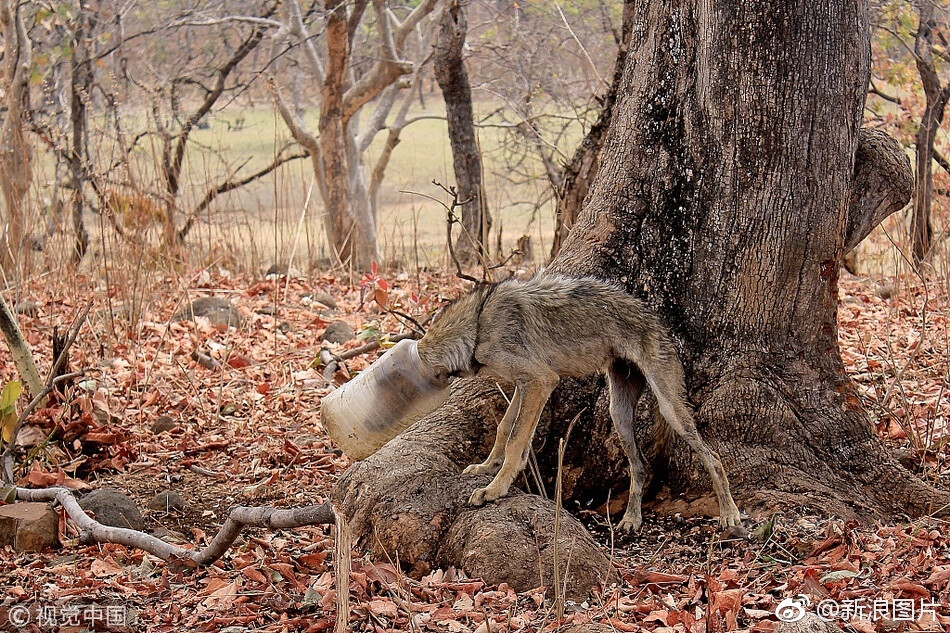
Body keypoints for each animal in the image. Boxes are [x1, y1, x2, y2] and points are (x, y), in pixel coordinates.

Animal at [418, 274, 744, 532]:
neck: (478, 323)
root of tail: (658, 321)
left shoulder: (540, 381)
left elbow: (514, 441)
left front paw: (494, 489)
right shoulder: (525, 385)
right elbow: (504, 428)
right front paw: (487, 468)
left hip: (670, 409)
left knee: (714, 458)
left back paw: (730, 515)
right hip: (619, 414)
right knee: (640, 467)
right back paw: (631, 519)